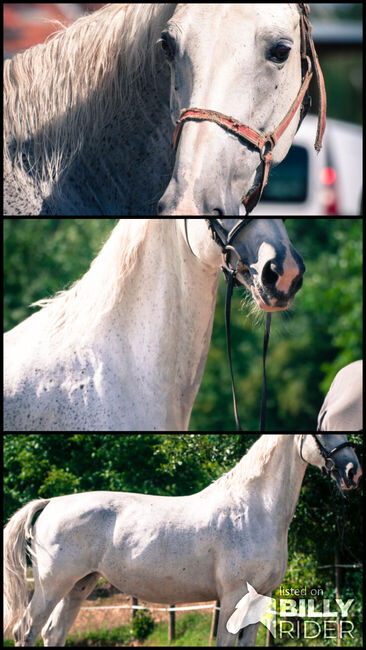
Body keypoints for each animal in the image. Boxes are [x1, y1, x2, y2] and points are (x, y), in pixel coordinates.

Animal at [4, 430, 362, 644]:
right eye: (322, 427)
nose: (352, 471)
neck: (254, 509)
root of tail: (51, 503)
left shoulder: (259, 598)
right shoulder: (232, 598)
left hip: (80, 585)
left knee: (54, 633)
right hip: (53, 586)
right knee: (28, 630)